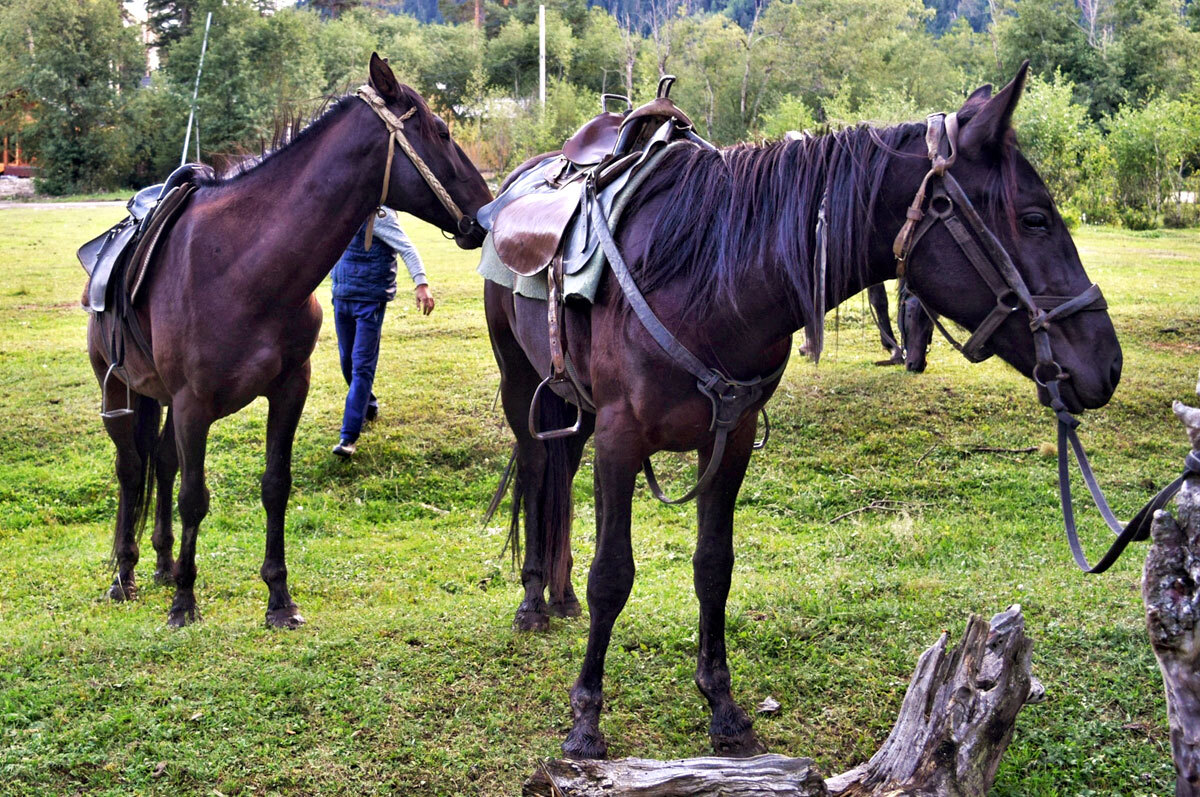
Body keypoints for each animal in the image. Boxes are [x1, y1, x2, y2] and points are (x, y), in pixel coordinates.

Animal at [87, 56, 492, 628]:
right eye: (441, 131)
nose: (485, 211)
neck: (243, 267)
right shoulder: (192, 405)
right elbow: (194, 497)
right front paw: (185, 603)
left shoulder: (287, 391)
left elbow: (274, 486)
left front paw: (278, 598)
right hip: (118, 390)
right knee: (130, 469)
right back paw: (125, 576)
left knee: (160, 462)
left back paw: (164, 563)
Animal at [482, 63, 1118, 758]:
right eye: (1034, 219)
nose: (1106, 364)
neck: (704, 279)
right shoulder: (621, 439)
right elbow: (613, 577)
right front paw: (586, 719)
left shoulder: (730, 437)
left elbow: (714, 567)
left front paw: (723, 707)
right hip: (522, 383)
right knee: (537, 471)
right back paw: (533, 600)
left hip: (574, 403)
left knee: (560, 478)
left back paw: (559, 595)